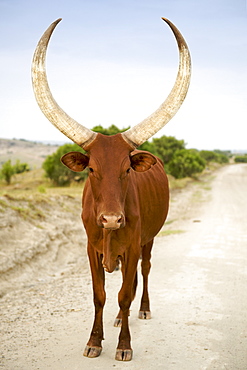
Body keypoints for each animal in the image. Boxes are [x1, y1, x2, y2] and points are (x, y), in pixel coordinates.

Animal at [31, 18, 191, 362]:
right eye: (91, 169)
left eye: (126, 169)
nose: (111, 220)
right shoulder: (91, 249)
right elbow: (100, 295)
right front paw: (94, 341)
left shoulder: (131, 246)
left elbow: (124, 294)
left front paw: (124, 345)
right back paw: (117, 320)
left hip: (148, 240)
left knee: (143, 272)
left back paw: (142, 311)